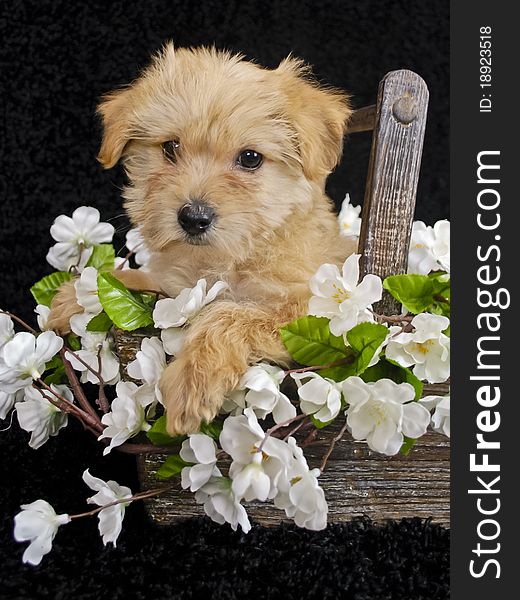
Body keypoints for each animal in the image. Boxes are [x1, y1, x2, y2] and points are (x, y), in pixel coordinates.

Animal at [48, 43, 356, 436]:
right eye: (171, 147)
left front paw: (191, 381)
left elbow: (231, 314)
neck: (226, 258)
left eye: (250, 158)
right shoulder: (176, 289)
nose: (193, 218)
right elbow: (139, 280)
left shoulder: (311, 309)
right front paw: (76, 296)